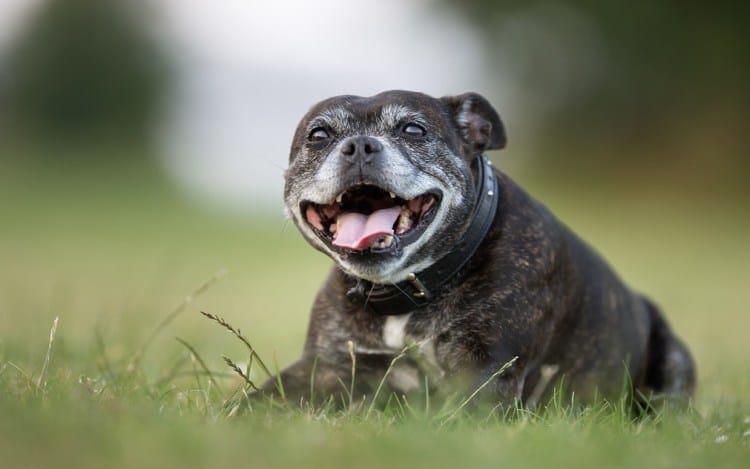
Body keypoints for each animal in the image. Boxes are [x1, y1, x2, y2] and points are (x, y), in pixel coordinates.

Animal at [260, 89, 700, 408]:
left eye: (414, 130)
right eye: (319, 135)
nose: (360, 146)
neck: (411, 289)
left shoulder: (486, 375)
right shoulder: (324, 367)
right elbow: (255, 403)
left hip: (671, 364)